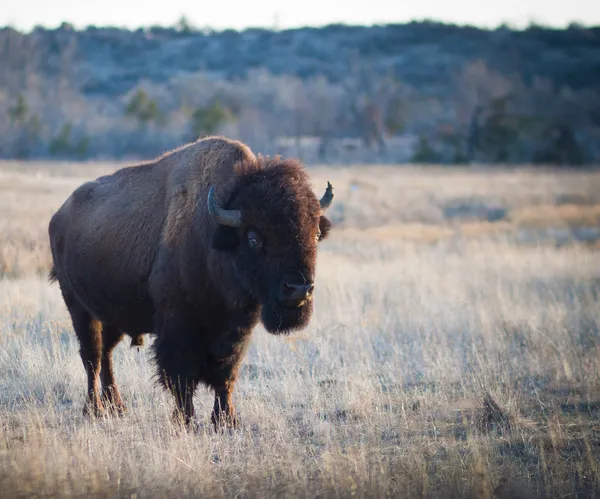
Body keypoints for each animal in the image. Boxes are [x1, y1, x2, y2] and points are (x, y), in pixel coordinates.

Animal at [48, 137, 332, 430]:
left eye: (315, 234)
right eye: (254, 238)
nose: (298, 290)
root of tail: (59, 217)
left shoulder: (236, 329)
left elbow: (226, 374)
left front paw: (226, 420)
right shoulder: (178, 325)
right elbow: (182, 377)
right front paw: (186, 421)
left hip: (111, 315)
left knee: (106, 355)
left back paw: (117, 407)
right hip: (78, 307)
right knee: (92, 356)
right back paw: (95, 409)